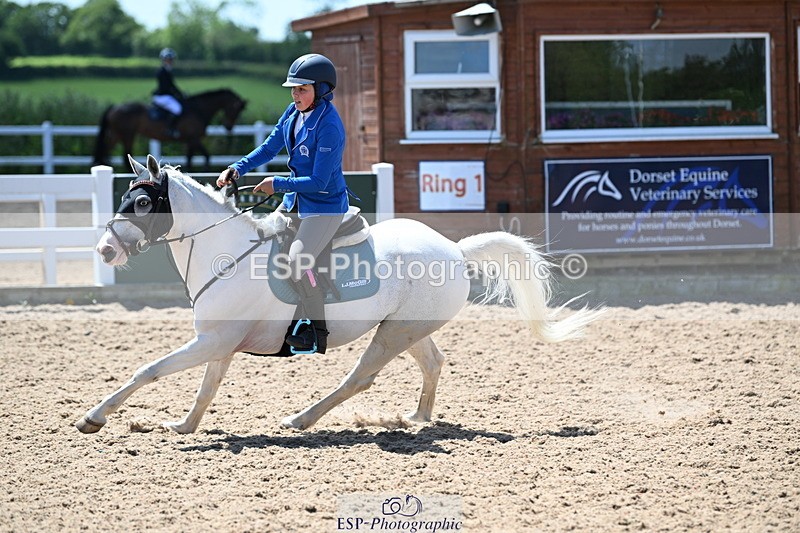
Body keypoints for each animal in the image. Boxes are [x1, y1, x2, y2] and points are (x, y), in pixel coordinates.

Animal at [75, 154, 604, 435]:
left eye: (144, 202)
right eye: (125, 198)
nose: (105, 249)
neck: (226, 254)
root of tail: (454, 248)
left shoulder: (211, 343)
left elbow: (148, 370)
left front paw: (94, 418)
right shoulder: (218, 344)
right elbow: (206, 388)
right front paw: (183, 426)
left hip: (392, 336)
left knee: (358, 379)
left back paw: (300, 419)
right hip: (408, 328)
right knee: (433, 362)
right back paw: (416, 417)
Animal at [92, 89, 247, 171]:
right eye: (235, 109)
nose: (228, 127)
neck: (198, 110)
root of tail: (114, 107)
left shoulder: (189, 142)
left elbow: (190, 159)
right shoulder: (193, 139)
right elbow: (205, 157)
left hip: (117, 135)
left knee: (105, 151)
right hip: (127, 135)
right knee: (124, 157)